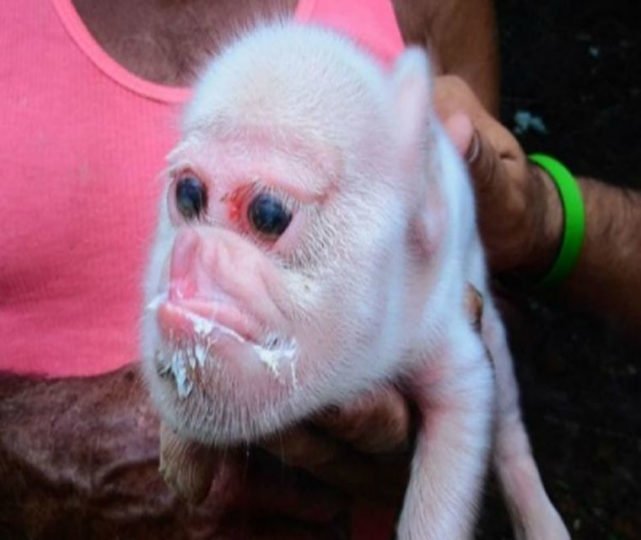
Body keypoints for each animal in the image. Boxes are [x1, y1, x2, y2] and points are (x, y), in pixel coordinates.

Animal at [141, 22, 570, 540]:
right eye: (188, 194)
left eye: (269, 213)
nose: (187, 252)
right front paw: (181, 479)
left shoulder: (453, 344)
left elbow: (459, 432)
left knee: (509, 428)